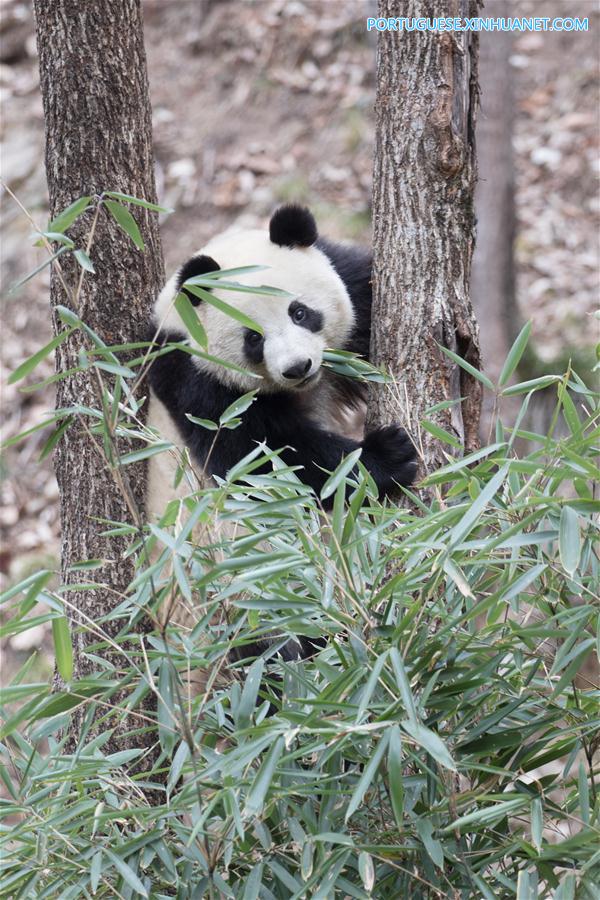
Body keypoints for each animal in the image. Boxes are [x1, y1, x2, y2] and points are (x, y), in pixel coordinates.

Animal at [146, 202, 418, 668]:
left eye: (300, 312)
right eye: (253, 338)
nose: (298, 367)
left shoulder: (349, 292)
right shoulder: (194, 383)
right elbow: (265, 461)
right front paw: (386, 456)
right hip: (236, 589)